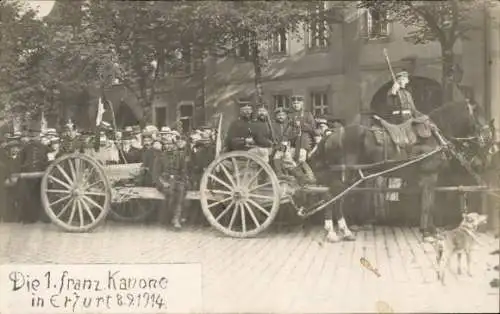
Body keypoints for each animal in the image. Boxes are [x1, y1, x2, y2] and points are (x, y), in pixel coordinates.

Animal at [312, 100, 492, 243]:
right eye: (479, 115)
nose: (489, 140)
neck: (434, 135)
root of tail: (330, 135)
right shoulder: (429, 176)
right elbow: (428, 205)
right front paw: (426, 233)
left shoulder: (429, 179)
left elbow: (430, 203)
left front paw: (432, 230)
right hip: (345, 175)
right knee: (331, 198)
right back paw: (333, 232)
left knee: (335, 199)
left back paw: (344, 232)